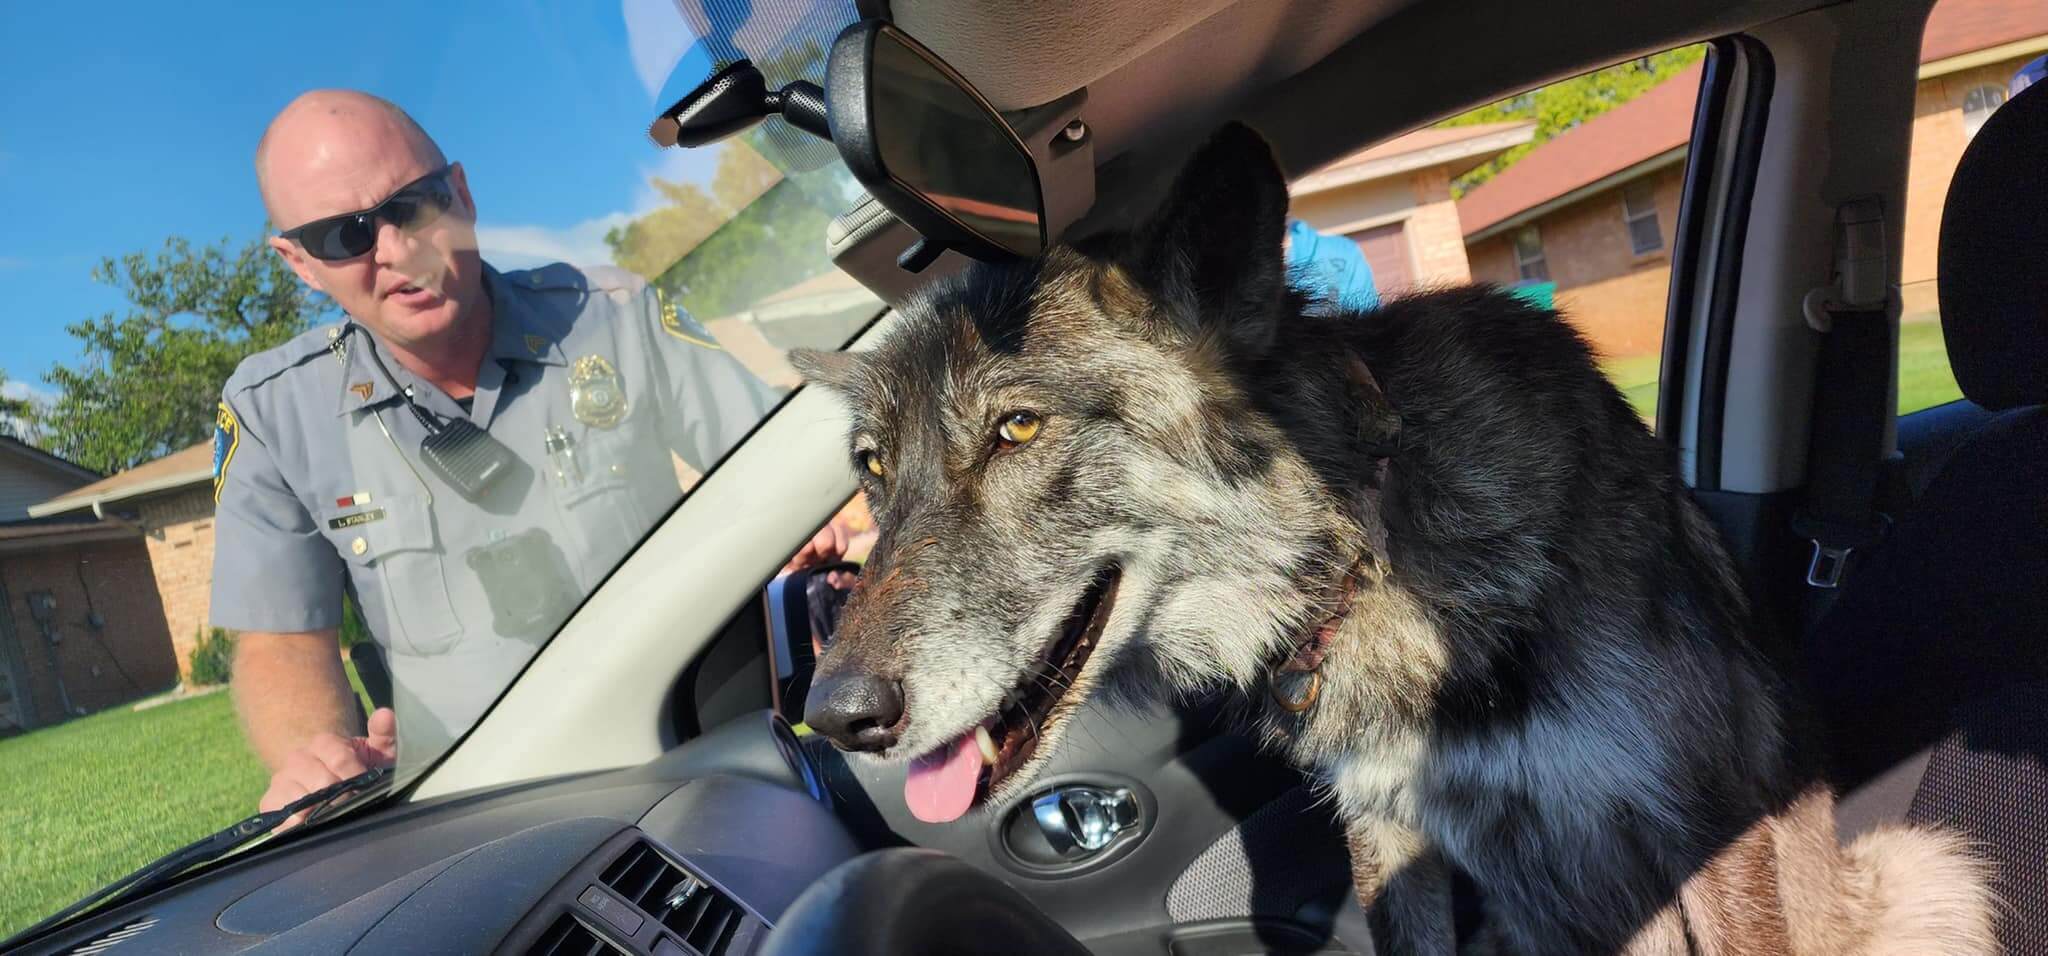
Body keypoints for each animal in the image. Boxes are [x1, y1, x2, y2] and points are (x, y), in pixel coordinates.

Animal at [789, 124, 1995, 954]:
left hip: (1922, 864)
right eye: (872, 470)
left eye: (1018, 427)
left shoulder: (1706, 827)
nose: (831, 715)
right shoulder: (1390, 838)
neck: (1373, 546)